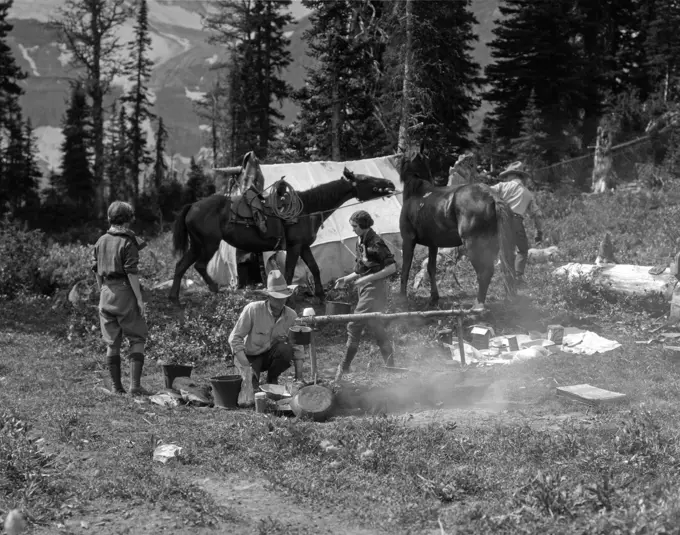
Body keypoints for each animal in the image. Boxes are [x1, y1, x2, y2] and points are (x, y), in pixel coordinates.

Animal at [167, 168, 396, 302]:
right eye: (365, 179)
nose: (391, 184)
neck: (308, 209)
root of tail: (192, 206)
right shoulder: (294, 247)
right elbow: (288, 272)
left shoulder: (304, 246)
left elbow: (314, 268)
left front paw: (320, 294)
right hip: (208, 244)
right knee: (198, 265)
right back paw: (214, 289)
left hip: (197, 244)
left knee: (181, 265)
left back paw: (174, 297)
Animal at [396, 149, 512, 312]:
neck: (418, 193)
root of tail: (491, 196)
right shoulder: (433, 244)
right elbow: (431, 268)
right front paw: (433, 298)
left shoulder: (408, 240)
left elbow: (405, 270)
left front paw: (402, 299)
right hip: (492, 245)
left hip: (474, 246)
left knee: (484, 273)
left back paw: (478, 305)